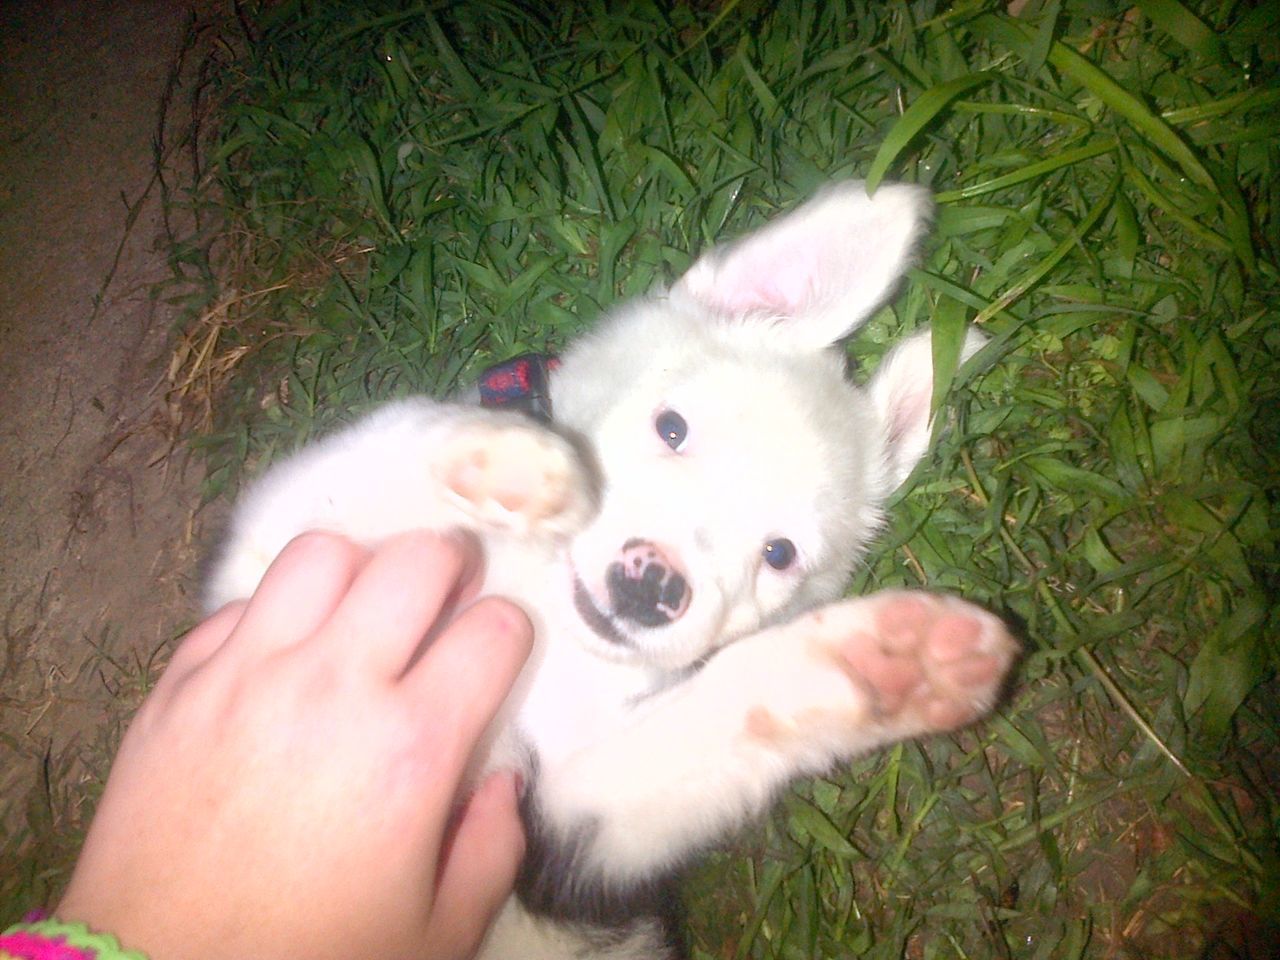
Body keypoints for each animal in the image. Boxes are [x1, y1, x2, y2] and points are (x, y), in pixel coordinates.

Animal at [204, 181, 1013, 960]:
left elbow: (729, 704)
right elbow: (399, 433)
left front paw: (886, 662)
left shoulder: (572, 815)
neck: (543, 613)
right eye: (672, 428)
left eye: (778, 554)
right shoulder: (270, 551)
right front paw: (514, 459)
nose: (651, 586)